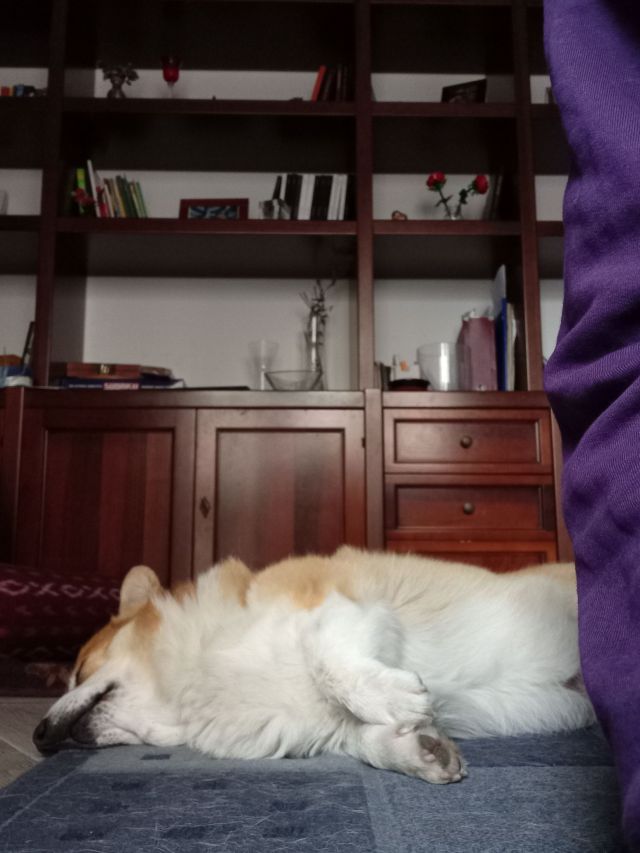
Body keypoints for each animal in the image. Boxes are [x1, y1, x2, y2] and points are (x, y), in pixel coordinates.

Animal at [33, 547, 594, 784]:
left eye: (80, 668)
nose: (37, 736)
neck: (195, 680)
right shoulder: (317, 729)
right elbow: (366, 740)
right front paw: (418, 749)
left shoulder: (340, 607)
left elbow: (329, 661)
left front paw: (395, 699)